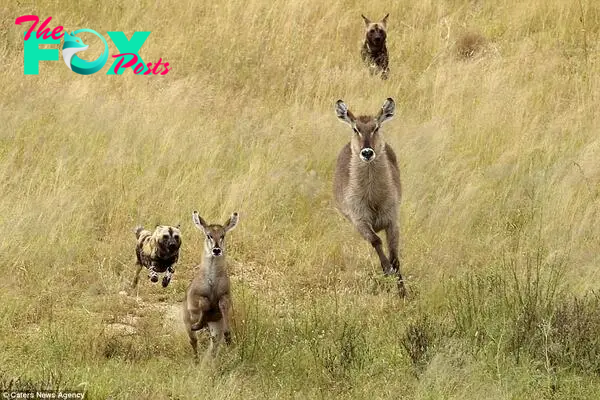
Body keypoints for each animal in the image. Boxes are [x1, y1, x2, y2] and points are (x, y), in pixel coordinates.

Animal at [183, 211, 239, 358]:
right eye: (208, 235)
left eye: (222, 235)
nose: (216, 250)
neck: (212, 282)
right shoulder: (195, 299)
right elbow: (205, 303)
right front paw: (198, 325)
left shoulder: (225, 296)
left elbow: (222, 307)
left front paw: (228, 337)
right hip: (187, 323)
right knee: (193, 342)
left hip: (215, 327)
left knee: (213, 345)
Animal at [332, 98, 408, 296]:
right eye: (355, 129)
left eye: (376, 127)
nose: (367, 152)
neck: (373, 198)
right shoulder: (360, 221)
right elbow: (376, 241)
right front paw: (387, 271)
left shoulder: (392, 220)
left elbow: (395, 258)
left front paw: (403, 293)